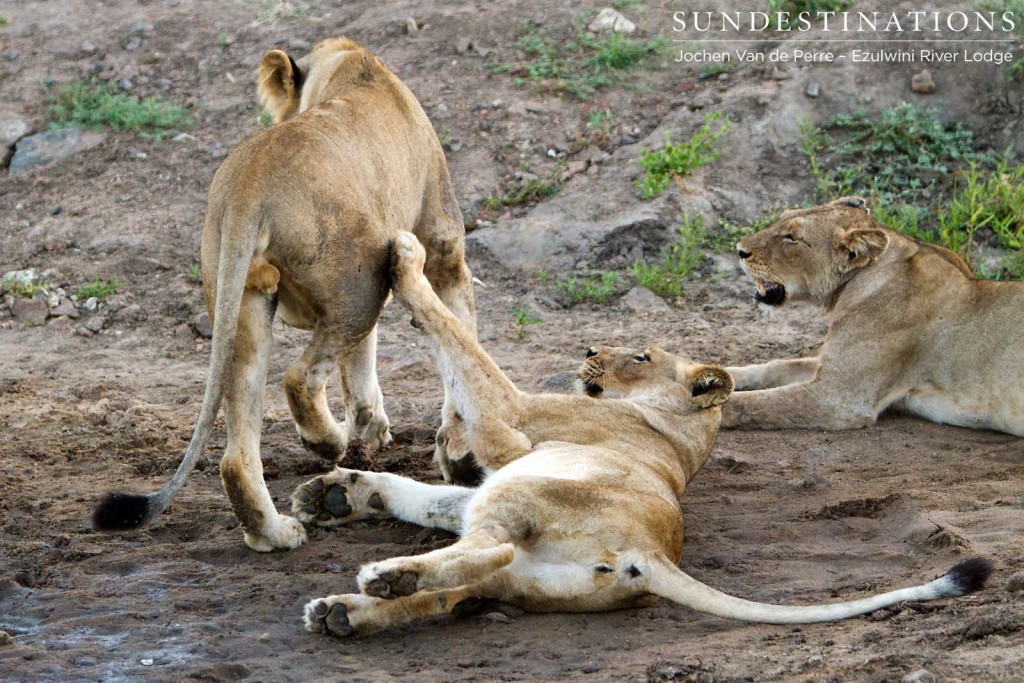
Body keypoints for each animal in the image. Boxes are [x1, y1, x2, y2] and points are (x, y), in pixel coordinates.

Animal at [91, 37, 475, 552]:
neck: (349, 64)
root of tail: (247, 188)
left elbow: (362, 361)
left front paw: (372, 425)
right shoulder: (440, 244)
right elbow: (457, 333)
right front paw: (453, 446)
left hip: (244, 303)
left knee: (237, 450)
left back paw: (272, 532)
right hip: (360, 284)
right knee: (300, 378)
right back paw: (328, 443)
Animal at [288, 232, 991, 638]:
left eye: (643, 355)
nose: (591, 349)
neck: (677, 435)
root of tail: (648, 556)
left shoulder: (511, 420)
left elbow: (455, 338)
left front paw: (406, 260)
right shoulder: (496, 458)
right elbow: (426, 495)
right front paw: (335, 495)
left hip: (524, 496)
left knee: (486, 548)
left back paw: (382, 578)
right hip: (525, 568)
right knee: (464, 583)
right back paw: (345, 610)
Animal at [720, 196, 1024, 438]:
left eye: (792, 238)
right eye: (782, 219)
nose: (739, 250)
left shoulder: (838, 398)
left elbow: (747, 404)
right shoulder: (828, 365)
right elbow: (773, 366)